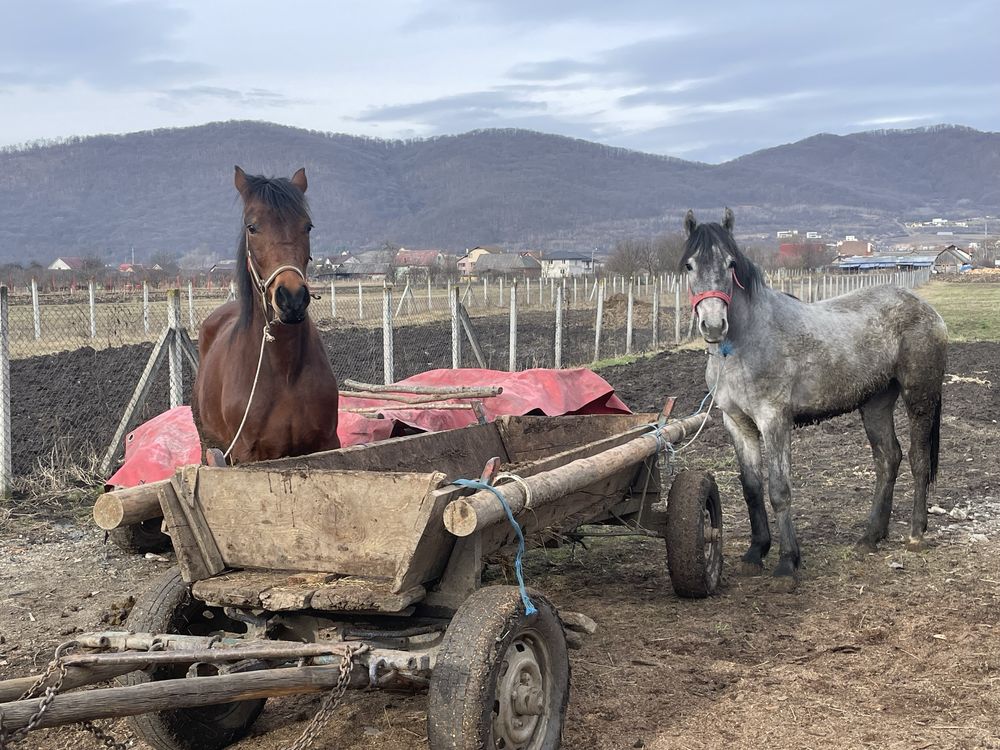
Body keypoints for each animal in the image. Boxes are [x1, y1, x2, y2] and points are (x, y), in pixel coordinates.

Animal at [191, 167, 340, 464]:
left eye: (307, 226)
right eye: (252, 227)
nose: (291, 298)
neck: (285, 372)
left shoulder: (328, 444)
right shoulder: (249, 456)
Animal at [684, 209, 948, 592]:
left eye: (730, 263)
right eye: (689, 265)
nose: (714, 324)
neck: (744, 344)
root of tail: (927, 310)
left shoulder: (774, 419)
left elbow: (779, 490)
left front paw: (787, 563)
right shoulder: (737, 423)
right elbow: (751, 488)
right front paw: (755, 553)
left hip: (920, 398)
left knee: (918, 459)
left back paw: (915, 534)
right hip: (875, 403)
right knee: (888, 458)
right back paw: (870, 537)